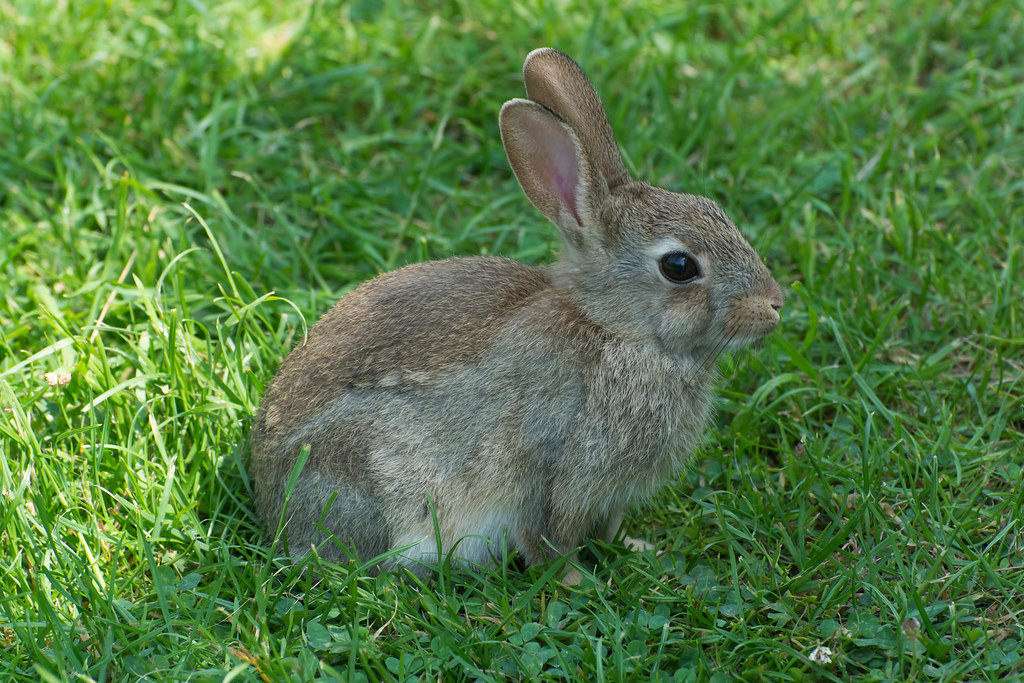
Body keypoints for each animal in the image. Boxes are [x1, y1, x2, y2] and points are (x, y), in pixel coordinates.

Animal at [250, 47, 784, 583]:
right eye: (679, 266)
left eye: (710, 205)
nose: (775, 305)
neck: (612, 329)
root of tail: (271, 501)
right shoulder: (552, 470)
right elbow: (549, 538)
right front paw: (578, 584)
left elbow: (607, 528)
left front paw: (637, 548)